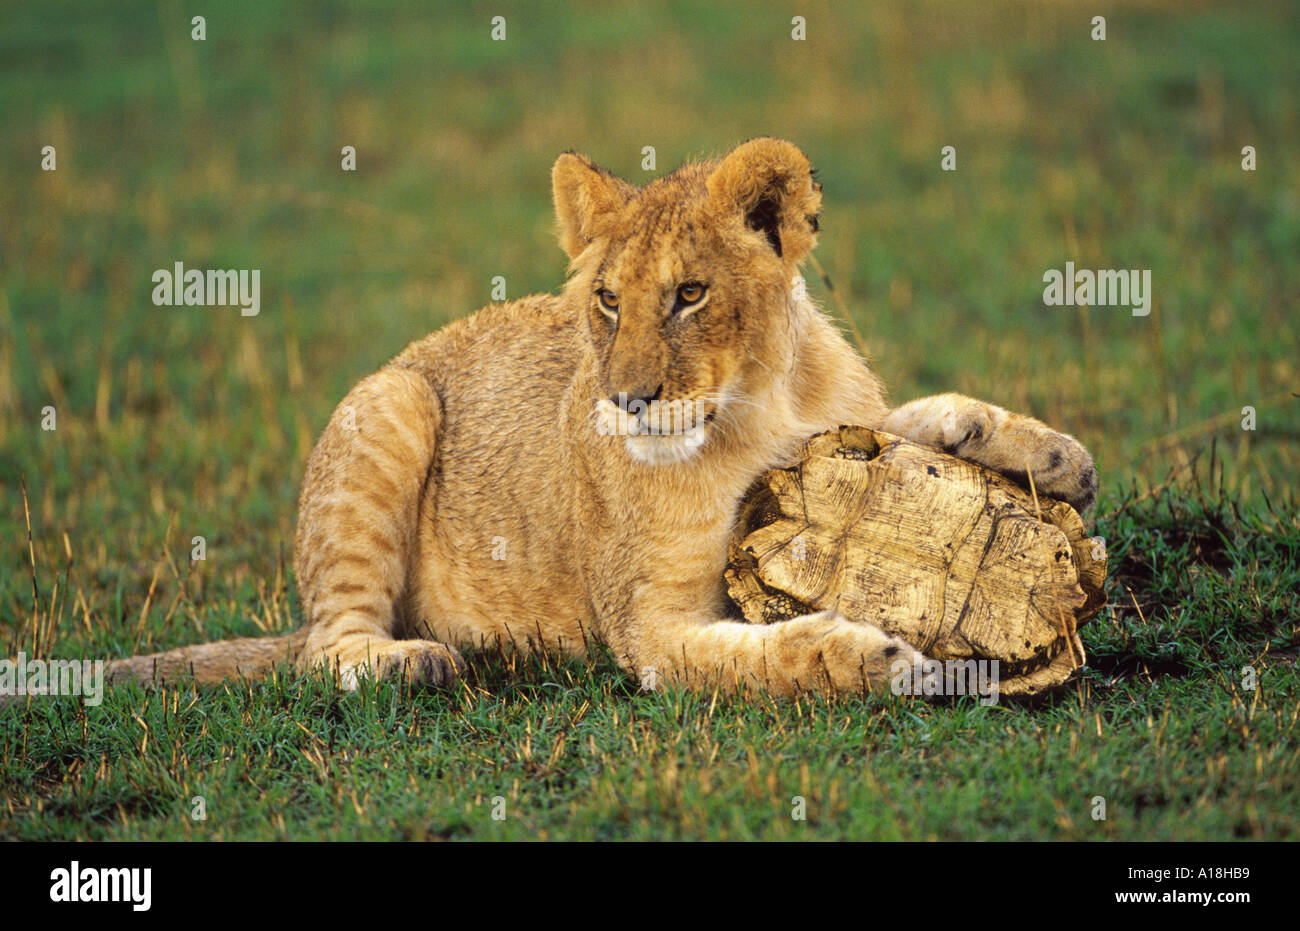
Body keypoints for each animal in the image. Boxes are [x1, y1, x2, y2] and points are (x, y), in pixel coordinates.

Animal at [105, 138, 1097, 697]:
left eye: (690, 295)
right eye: (610, 301)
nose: (626, 400)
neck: (759, 406)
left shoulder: (849, 419)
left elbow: (913, 415)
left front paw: (1050, 455)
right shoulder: (646, 626)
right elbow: (761, 659)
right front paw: (881, 661)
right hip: (390, 400)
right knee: (326, 646)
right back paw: (409, 660)